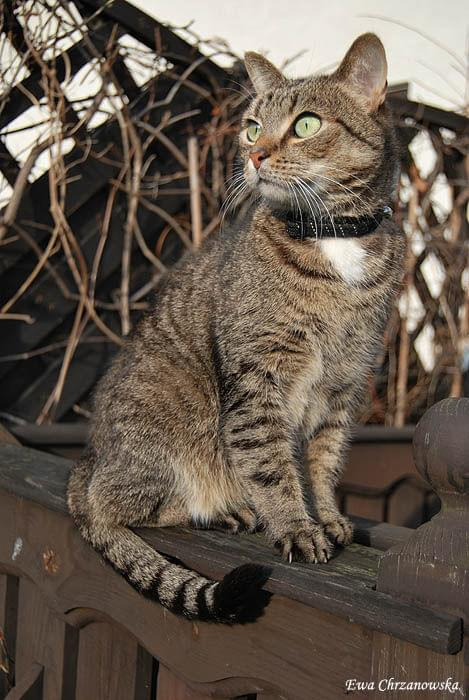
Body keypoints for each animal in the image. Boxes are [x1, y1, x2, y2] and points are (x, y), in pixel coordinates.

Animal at [66, 32, 406, 624]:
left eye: (306, 124)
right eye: (251, 126)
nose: (254, 152)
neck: (333, 239)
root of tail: (88, 460)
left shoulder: (344, 383)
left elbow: (322, 460)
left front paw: (326, 515)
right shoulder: (257, 376)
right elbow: (270, 463)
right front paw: (296, 526)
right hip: (162, 423)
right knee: (111, 506)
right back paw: (225, 510)